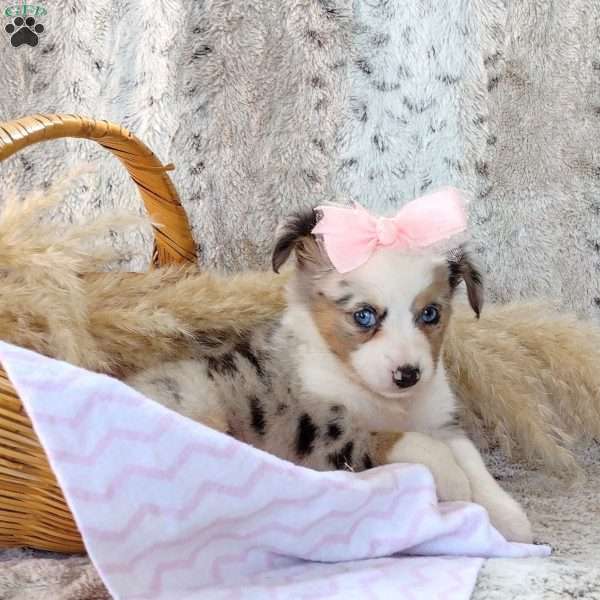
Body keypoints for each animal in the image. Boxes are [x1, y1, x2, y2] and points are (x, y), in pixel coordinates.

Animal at [125, 206, 528, 544]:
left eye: (430, 314)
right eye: (363, 315)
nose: (408, 375)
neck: (385, 400)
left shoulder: (439, 419)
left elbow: (471, 458)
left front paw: (508, 516)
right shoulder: (318, 434)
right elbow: (400, 440)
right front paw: (453, 481)